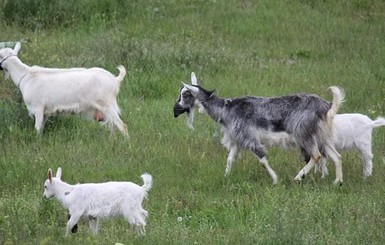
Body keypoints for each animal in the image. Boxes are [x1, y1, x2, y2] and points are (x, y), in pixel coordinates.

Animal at [0, 42, 129, 136]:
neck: (25, 75)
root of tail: (115, 80)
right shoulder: (45, 112)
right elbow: (41, 128)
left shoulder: (38, 108)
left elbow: (37, 128)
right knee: (112, 126)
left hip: (107, 105)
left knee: (122, 126)